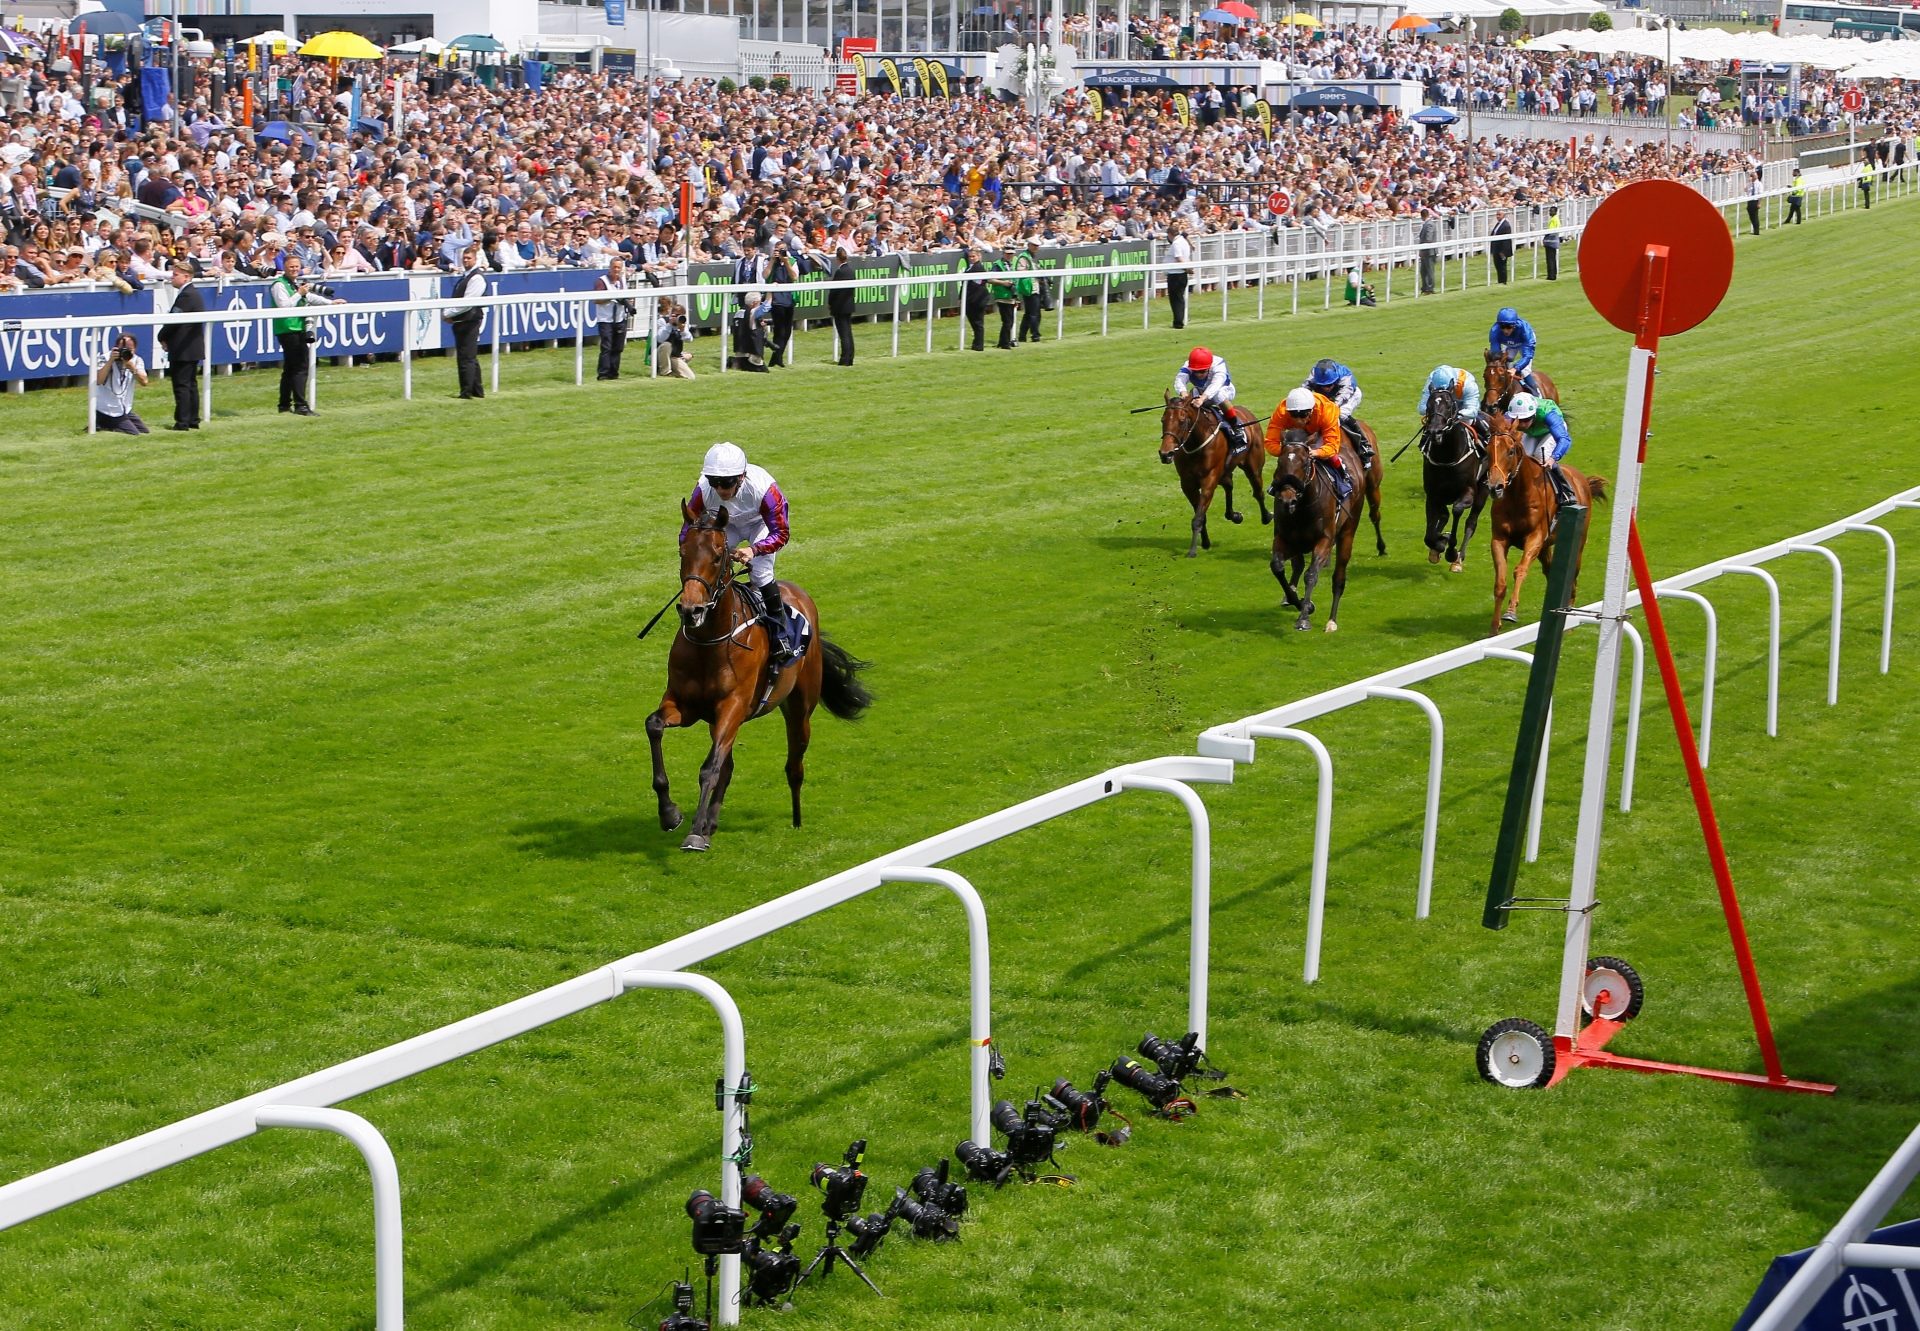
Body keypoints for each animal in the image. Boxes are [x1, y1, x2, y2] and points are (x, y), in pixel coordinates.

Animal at [652, 503, 879, 856]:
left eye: (717, 556)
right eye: (682, 552)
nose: (692, 610)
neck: (710, 642)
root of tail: (798, 593)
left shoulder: (732, 706)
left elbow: (709, 769)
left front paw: (693, 833)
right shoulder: (685, 705)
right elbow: (655, 727)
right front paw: (670, 814)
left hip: (799, 709)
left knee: (794, 766)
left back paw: (796, 821)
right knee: (728, 766)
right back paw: (710, 824)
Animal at [1152, 397, 1274, 556]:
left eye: (1182, 421)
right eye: (1163, 420)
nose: (1166, 454)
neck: (1196, 443)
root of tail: (1247, 412)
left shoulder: (1209, 479)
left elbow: (1198, 517)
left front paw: (1192, 550)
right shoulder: (1187, 484)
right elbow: (1200, 514)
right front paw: (1205, 542)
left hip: (1252, 467)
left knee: (1258, 492)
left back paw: (1266, 517)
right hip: (1224, 472)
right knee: (1229, 485)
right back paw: (1234, 515)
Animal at [1267, 428, 1374, 629]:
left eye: (1304, 463)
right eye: (1279, 462)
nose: (1287, 500)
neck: (1302, 509)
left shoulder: (1324, 540)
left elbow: (1310, 575)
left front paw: (1303, 618)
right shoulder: (1285, 539)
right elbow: (1277, 567)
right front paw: (1302, 604)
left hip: (1348, 531)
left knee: (1339, 577)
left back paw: (1332, 621)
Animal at [1420, 384, 1489, 572]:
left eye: (1449, 405)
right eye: (1429, 404)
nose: (1434, 431)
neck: (1447, 457)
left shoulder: (1469, 491)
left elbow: (1457, 510)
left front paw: (1451, 550)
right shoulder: (1433, 494)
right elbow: (1429, 536)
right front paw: (1439, 543)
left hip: (1484, 489)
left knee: (1471, 522)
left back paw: (1458, 559)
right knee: (1444, 515)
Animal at [1482, 412, 1605, 637]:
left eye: (1510, 451)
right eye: (1487, 451)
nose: (1495, 487)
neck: (1518, 496)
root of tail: (1582, 479)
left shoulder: (1535, 538)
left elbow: (1520, 570)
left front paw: (1511, 612)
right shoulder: (1499, 539)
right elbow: (1500, 582)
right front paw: (1495, 626)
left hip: (1577, 543)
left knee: (1572, 576)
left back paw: (1568, 618)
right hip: (1546, 547)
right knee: (1551, 572)